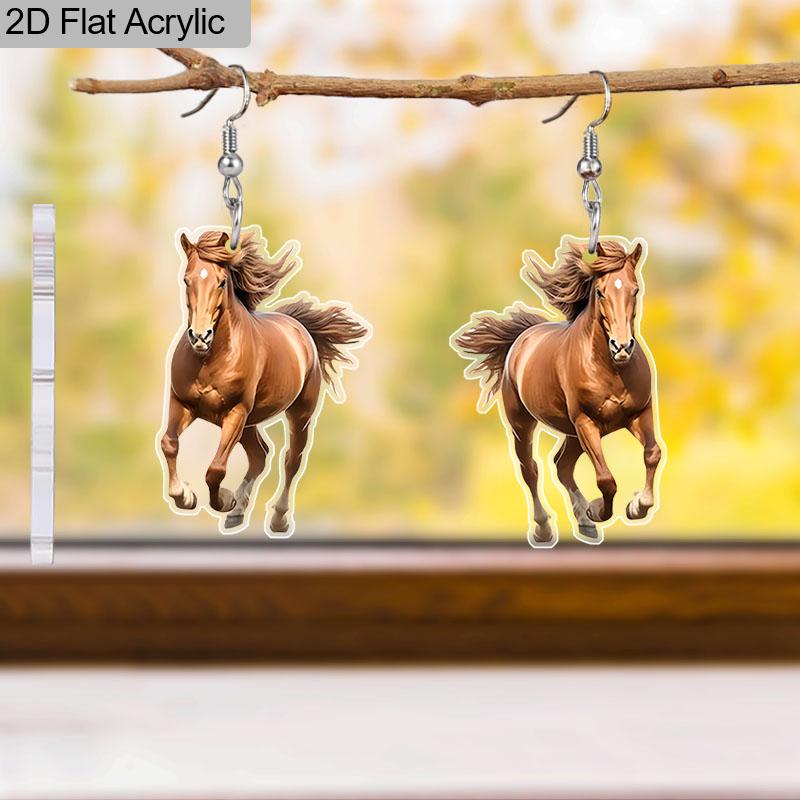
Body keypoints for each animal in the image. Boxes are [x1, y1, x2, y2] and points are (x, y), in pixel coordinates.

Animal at [158, 227, 371, 536]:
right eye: (187, 279)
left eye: (221, 282)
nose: (200, 336)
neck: (211, 359)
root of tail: (299, 328)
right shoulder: (183, 403)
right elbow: (169, 443)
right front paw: (184, 496)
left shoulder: (235, 412)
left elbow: (216, 470)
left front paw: (225, 500)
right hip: (250, 422)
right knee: (260, 455)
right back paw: (238, 512)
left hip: (298, 414)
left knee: (291, 460)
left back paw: (277, 518)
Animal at [452, 237, 663, 547]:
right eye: (600, 292)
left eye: (635, 290)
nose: (622, 346)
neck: (610, 369)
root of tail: (522, 338)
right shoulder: (587, 422)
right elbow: (605, 479)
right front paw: (597, 510)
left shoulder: (639, 413)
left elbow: (652, 454)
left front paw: (637, 505)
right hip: (524, 424)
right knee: (531, 470)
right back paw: (545, 528)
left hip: (572, 433)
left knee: (561, 465)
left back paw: (584, 522)